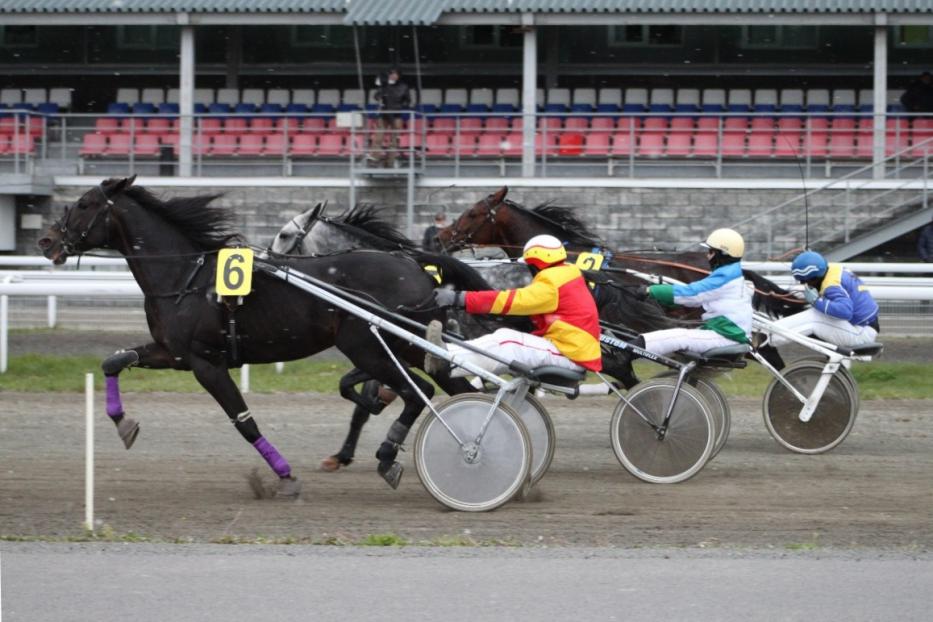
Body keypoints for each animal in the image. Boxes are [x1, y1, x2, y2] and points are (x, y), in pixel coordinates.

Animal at [38, 179, 488, 498]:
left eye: (84, 204)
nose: (47, 240)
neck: (185, 277)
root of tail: (413, 265)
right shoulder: (173, 353)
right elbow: (113, 361)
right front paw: (123, 423)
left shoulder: (205, 362)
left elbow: (243, 421)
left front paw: (284, 476)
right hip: (411, 348)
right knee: (456, 388)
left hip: (372, 347)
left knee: (418, 394)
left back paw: (390, 455)